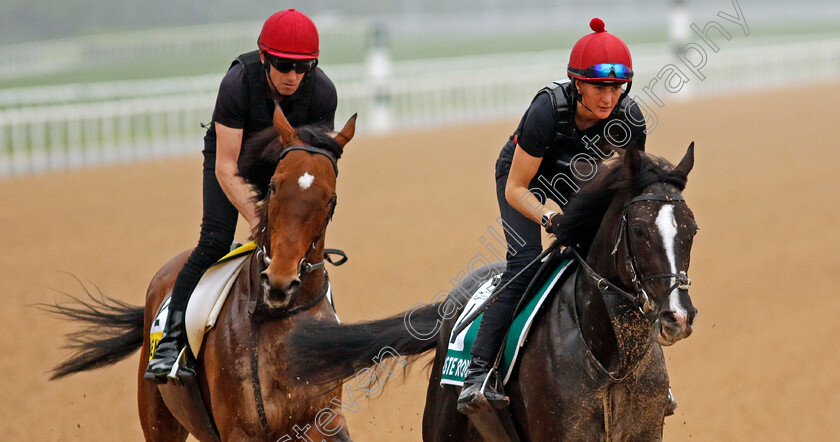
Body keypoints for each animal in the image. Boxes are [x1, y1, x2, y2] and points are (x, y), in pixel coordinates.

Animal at [43, 108, 358, 442]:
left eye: (330, 198)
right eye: (274, 185)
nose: (279, 281)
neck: (275, 320)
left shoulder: (322, 419)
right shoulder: (240, 430)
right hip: (159, 421)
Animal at [286, 143, 700, 440]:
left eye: (691, 229)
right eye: (640, 230)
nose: (677, 317)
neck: (609, 357)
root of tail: (450, 303)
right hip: (444, 424)